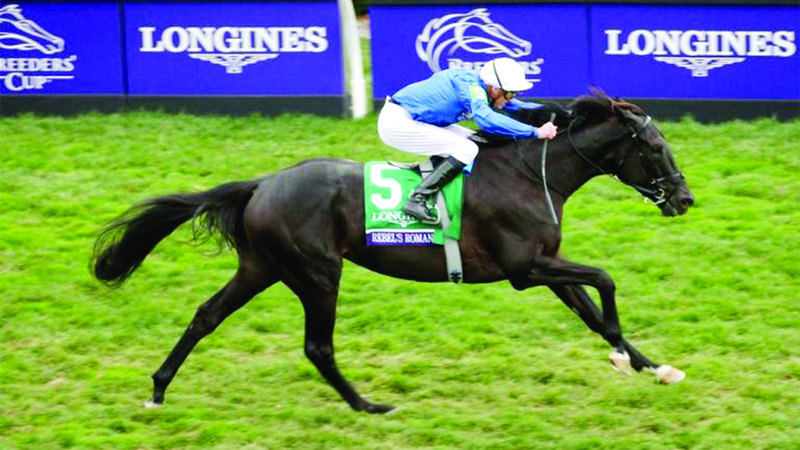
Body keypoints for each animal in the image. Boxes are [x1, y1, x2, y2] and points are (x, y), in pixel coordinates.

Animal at [92, 92, 695, 413]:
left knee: (205, 316)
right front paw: (627, 358)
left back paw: (158, 390)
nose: (685, 198)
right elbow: (606, 280)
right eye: (655, 148)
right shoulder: (526, 268)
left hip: (261, 267)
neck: (530, 174)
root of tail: (263, 183)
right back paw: (367, 404)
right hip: (317, 272)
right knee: (317, 346)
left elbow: (592, 311)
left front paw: (651, 365)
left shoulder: (544, 266)